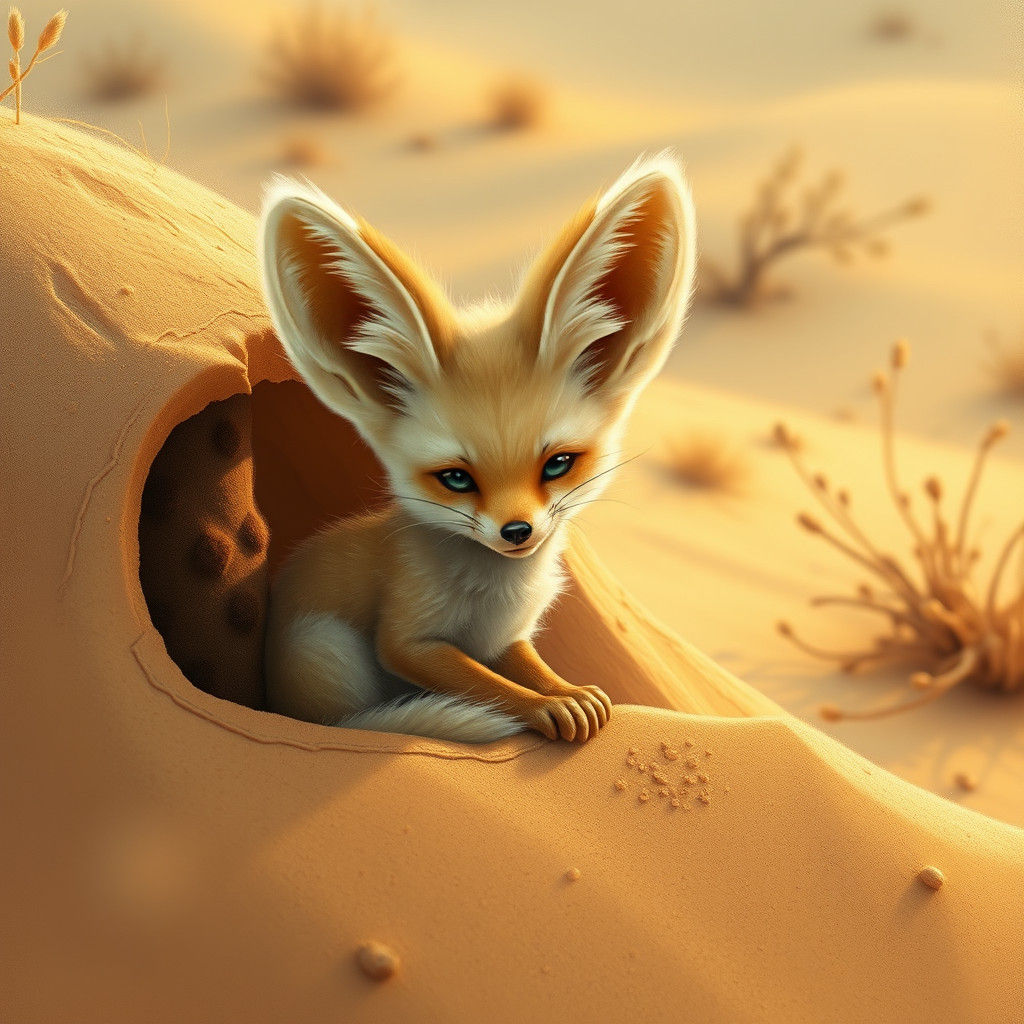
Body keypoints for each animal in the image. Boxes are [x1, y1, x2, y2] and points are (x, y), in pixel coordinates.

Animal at [258, 153, 696, 745]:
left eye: (558, 464)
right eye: (457, 478)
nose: (518, 532)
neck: (496, 594)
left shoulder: (504, 639)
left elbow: (526, 668)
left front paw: (569, 693)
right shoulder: (409, 636)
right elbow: (487, 686)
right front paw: (545, 709)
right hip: (327, 651)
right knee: (346, 721)